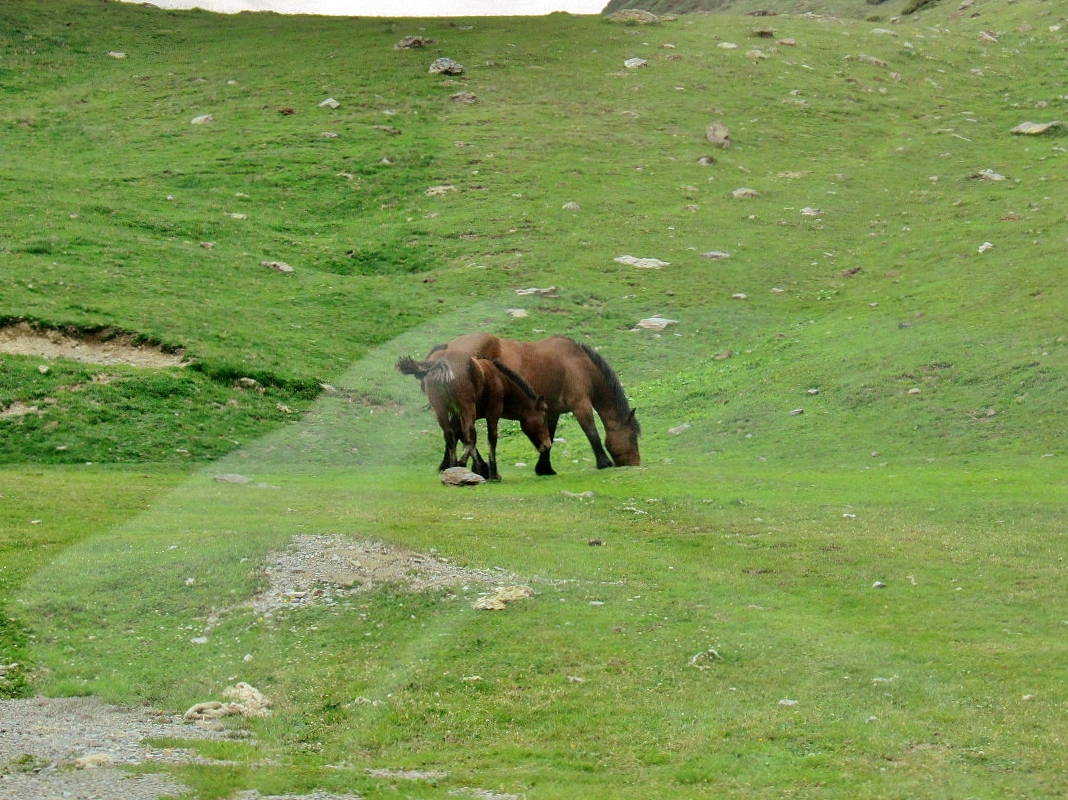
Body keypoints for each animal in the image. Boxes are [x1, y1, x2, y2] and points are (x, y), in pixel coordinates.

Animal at [397, 350, 555, 478]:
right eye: (544, 418)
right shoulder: (492, 412)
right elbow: (490, 438)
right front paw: (492, 473)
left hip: (441, 409)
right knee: (470, 434)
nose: (547, 445)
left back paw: (455, 466)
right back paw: (474, 467)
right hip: (467, 408)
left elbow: (459, 434)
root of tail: (441, 362)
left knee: (449, 434)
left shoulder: (458, 415)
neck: (500, 380)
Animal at [427, 333, 640, 474]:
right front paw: (604, 462)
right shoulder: (581, 405)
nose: (636, 463)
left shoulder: (552, 411)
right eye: (632, 436)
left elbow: (549, 436)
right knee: (460, 432)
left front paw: (545, 467)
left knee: (455, 432)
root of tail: (447, 348)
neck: (580, 364)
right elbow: (592, 433)